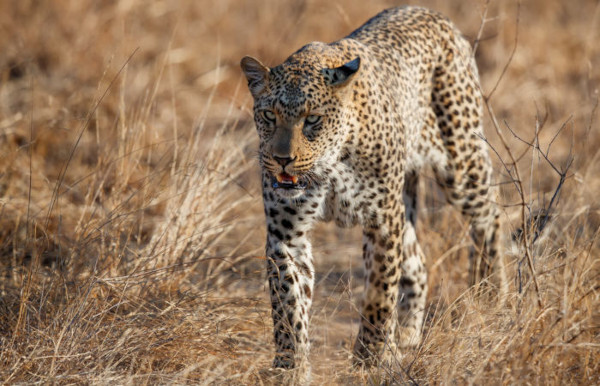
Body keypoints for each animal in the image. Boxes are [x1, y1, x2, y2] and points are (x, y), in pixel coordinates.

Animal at [239, 4, 506, 378]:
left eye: (312, 119)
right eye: (268, 115)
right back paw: (407, 337)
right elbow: (288, 306)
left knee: (490, 214)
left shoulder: (382, 221)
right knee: (418, 262)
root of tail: (429, 11)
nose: (282, 160)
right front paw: (290, 369)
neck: (330, 163)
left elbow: (379, 297)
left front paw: (368, 362)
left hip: (461, 163)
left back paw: (491, 298)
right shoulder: (286, 235)